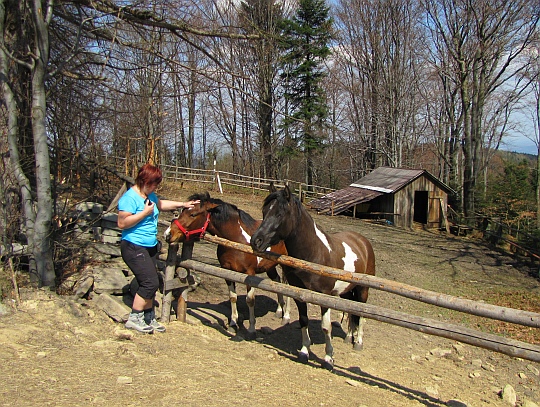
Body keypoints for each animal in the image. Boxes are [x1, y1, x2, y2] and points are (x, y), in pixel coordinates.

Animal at [165, 193, 292, 340]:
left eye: (193, 214)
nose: (168, 234)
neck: (237, 241)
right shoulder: (227, 271)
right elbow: (232, 297)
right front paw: (233, 323)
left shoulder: (250, 273)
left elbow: (250, 300)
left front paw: (251, 329)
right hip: (270, 267)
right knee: (277, 282)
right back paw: (279, 311)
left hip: (286, 265)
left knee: (288, 286)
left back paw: (286, 316)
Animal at [250, 186, 374, 372]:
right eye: (264, 211)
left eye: (280, 214)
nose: (255, 241)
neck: (314, 254)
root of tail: (362, 241)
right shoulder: (299, 294)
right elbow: (304, 320)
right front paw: (304, 351)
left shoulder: (325, 296)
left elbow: (326, 327)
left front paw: (328, 358)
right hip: (346, 290)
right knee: (351, 312)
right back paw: (349, 337)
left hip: (362, 290)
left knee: (361, 313)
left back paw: (358, 342)